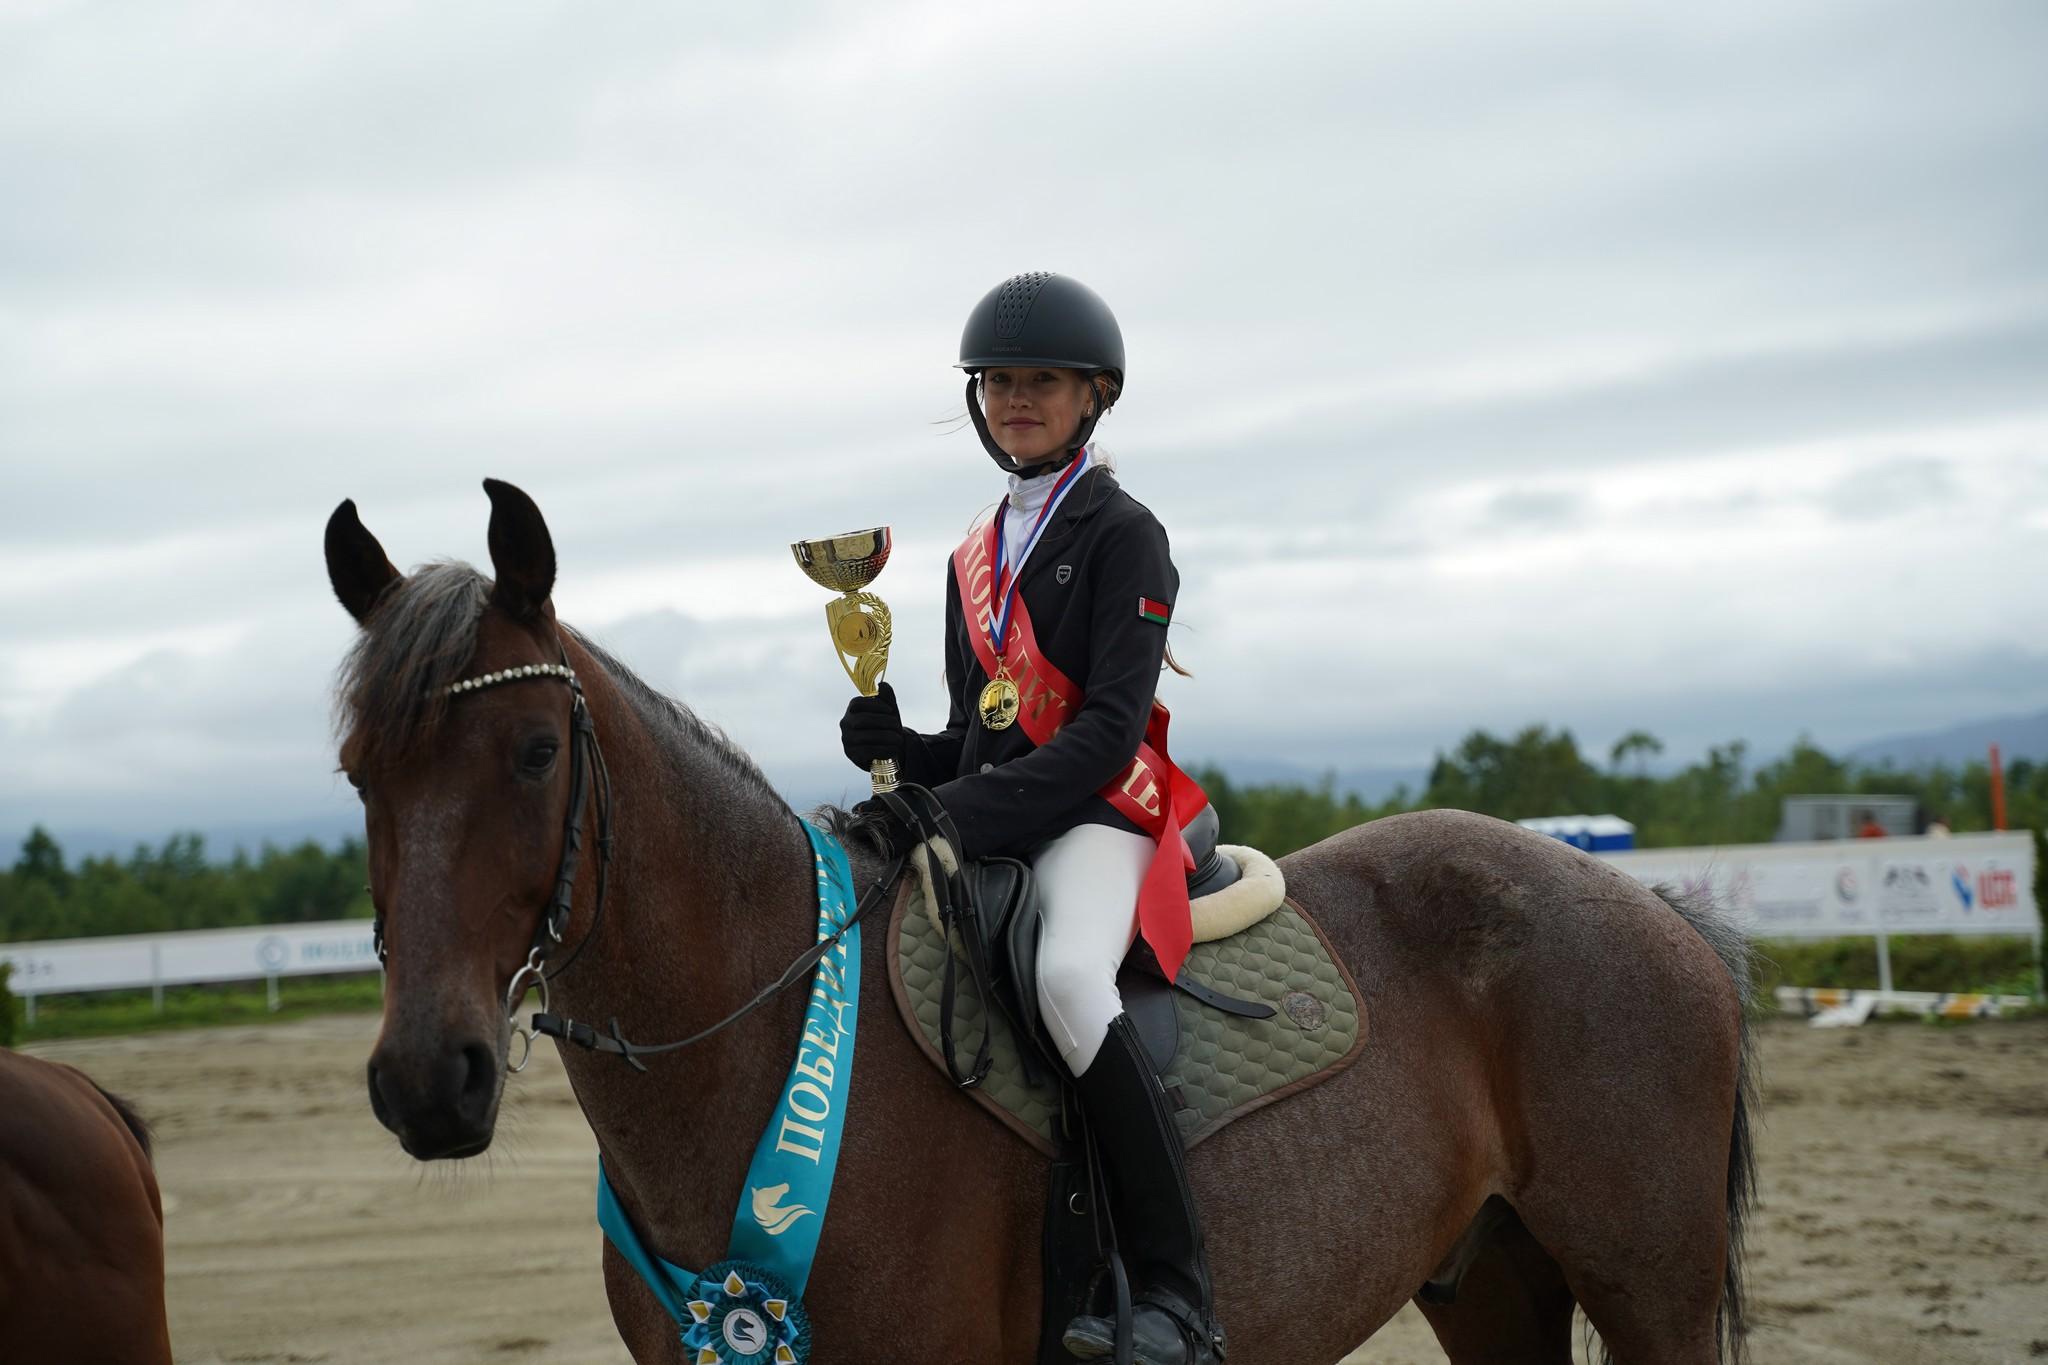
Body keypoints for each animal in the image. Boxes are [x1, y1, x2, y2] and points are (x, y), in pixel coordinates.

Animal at [327, 474, 1753, 1358]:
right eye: (356, 772)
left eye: (532, 753)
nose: (428, 1080)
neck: (764, 1045)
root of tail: (1651, 909)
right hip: (1491, 1277)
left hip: (1648, 1290)